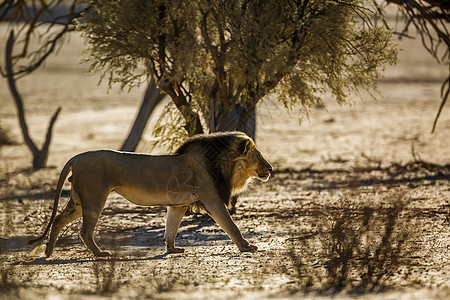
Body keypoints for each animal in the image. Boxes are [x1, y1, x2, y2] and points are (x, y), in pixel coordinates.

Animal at [29, 132, 274, 256]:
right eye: (259, 155)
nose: (271, 168)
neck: (222, 164)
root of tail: (76, 157)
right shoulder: (211, 199)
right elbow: (231, 225)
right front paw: (246, 246)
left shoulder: (178, 204)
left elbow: (171, 228)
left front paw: (172, 249)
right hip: (94, 199)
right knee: (84, 231)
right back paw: (100, 254)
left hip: (79, 202)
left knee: (58, 220)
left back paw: (48, 251)